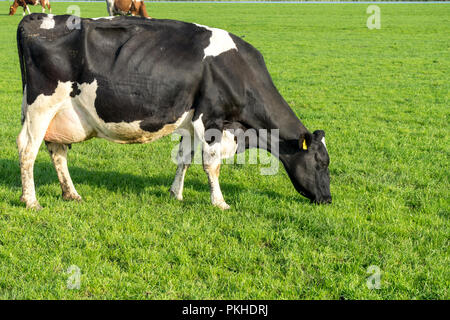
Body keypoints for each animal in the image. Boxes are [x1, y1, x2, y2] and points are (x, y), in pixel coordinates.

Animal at [16, 14, 330, 210]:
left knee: (57, 151)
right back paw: (31, 201)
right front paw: (220, 203)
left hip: (59, 113)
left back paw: (71, 194)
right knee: (28, 149)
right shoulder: (210, 118)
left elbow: (184, 159)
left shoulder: (191, 121)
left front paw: (175, 194)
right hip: (40, 106)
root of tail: (35, 18)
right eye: (320, 163)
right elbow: (211, 164)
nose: (327, 199)